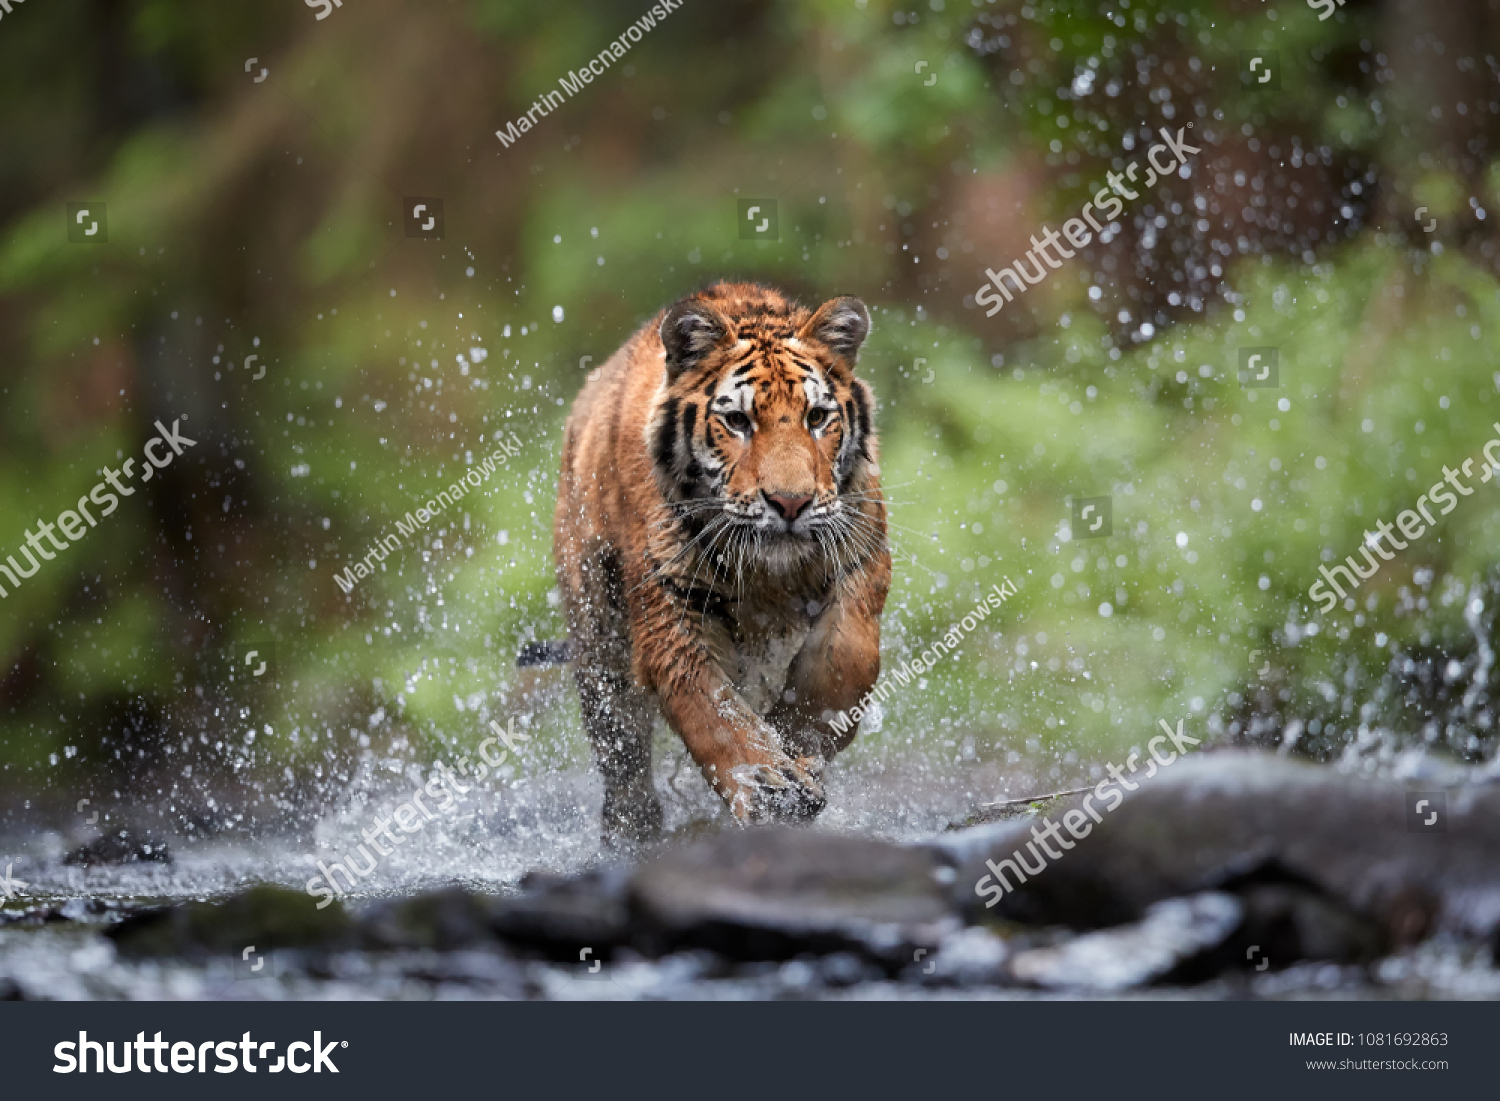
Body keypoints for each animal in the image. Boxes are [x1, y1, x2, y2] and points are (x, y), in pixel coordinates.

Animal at [532, 281, 891, 845]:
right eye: (738, 421)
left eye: (816, 418)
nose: (790, 503)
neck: (770, 577)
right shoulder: (671, 614)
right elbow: (715, 714)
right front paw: (771, 785)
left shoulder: (860, 558)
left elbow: (847, 660)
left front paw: (796, 741)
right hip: (597, 642)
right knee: (623, 758)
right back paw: (632, 831)